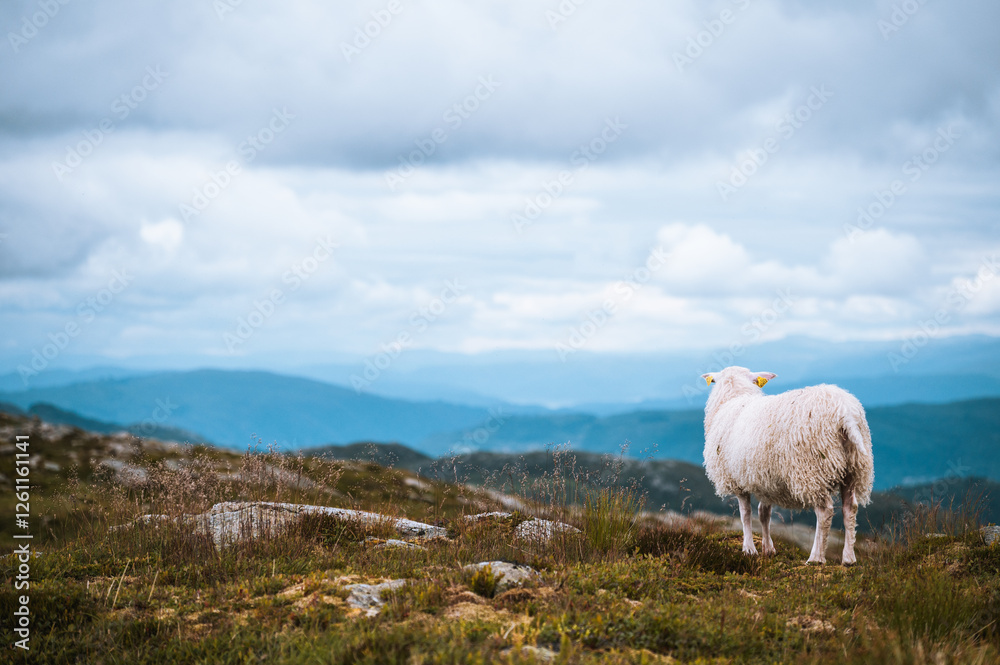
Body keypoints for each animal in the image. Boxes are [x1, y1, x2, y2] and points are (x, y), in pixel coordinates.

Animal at [700, 366, 874, 565]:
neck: (733, 398)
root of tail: (845, 413)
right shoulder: (765, 479)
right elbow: (763, 513)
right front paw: (768, 549)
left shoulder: (737, 480)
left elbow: (745, 514)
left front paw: (749, 549)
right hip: (854, 467)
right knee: (850, 507)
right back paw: (849, 558)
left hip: (812, 468)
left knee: (824, 511)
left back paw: (816, 558)